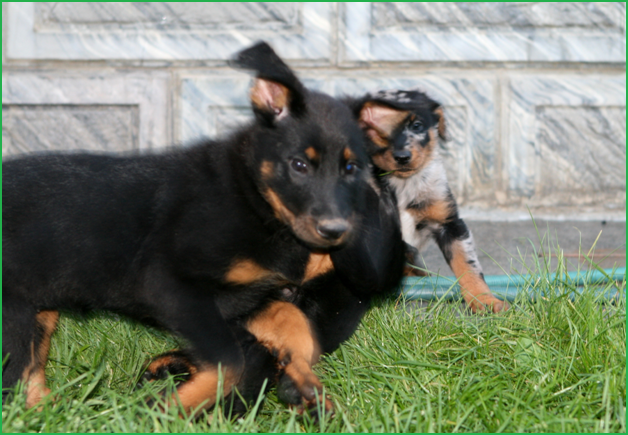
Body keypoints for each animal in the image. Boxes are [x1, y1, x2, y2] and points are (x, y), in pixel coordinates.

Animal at [2, 43, 404, 416]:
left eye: (352, 168)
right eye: (299, 165)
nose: (336, 232)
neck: (254, 200)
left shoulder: (248, 299)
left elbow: (292, 323)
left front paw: (304, 382)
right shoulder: (171, 286)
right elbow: (230, 361)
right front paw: (165, 410)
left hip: (39, 310)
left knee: (29, 378)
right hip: (16, 311)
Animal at [348, 90, 510, 314]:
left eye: (417, 126)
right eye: (373, 130)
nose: (402, 157)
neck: (403, 185)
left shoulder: (449, 223)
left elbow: (467, 266)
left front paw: (485, 300)